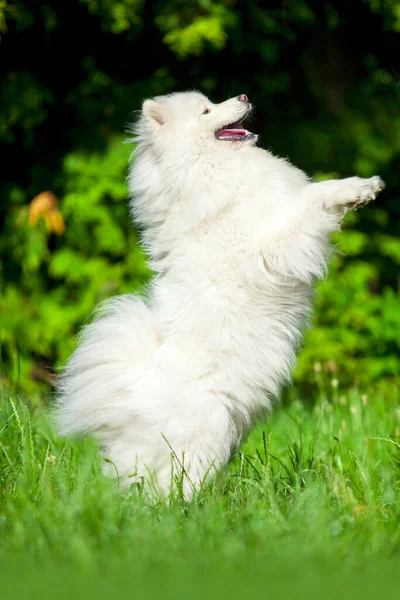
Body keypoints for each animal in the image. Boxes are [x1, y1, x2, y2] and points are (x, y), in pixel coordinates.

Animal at [55, 90, 384, 496]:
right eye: (206, 110)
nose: (243, 95)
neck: (213, 175)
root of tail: (125, 400)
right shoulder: (272, 243)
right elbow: (311, 196)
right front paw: (351, 188)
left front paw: (364, 189)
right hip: (204, 434)